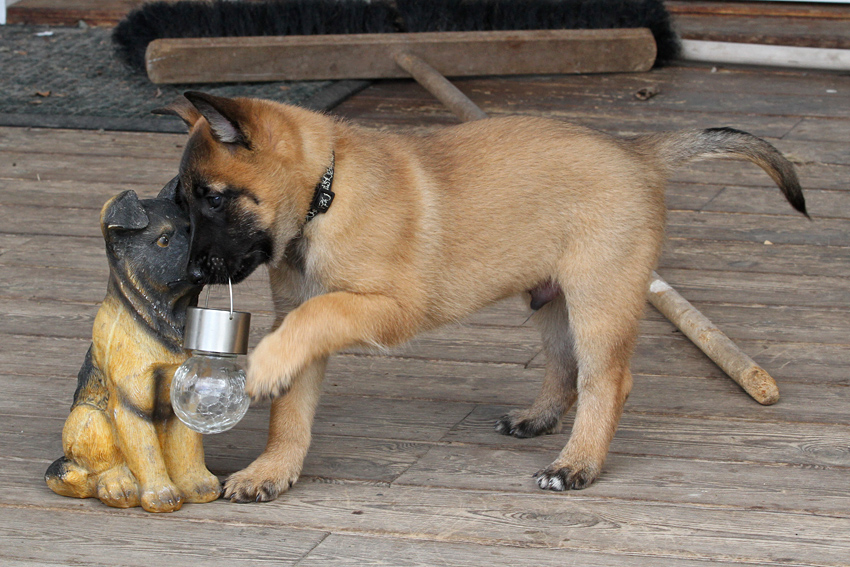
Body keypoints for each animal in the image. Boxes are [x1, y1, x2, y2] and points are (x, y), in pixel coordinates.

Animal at [45, 184, 220, 512]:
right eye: (163, 240)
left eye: (191, 231)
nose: (207, 261)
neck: (164, 321)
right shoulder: (130, 401)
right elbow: (145, 451)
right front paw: (160, 493)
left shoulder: (181, 395)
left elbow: (187, 446)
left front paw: (195, 483)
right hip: (88, 417)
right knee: (91, 472)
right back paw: (117, 485)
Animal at [154, 92, 808, 502]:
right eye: (184, 201)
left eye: (213, 198)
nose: (191, 270)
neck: (326, 195)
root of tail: (637, 153)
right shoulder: (302, 325)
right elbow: (292, 409)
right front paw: (272, 470)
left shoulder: (388, 308)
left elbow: (321, 311)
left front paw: (260, 367)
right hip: (553, 300)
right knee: (565, 366)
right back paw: (539, 419)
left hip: (600, 298)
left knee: (607, 381)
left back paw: (577, 464)